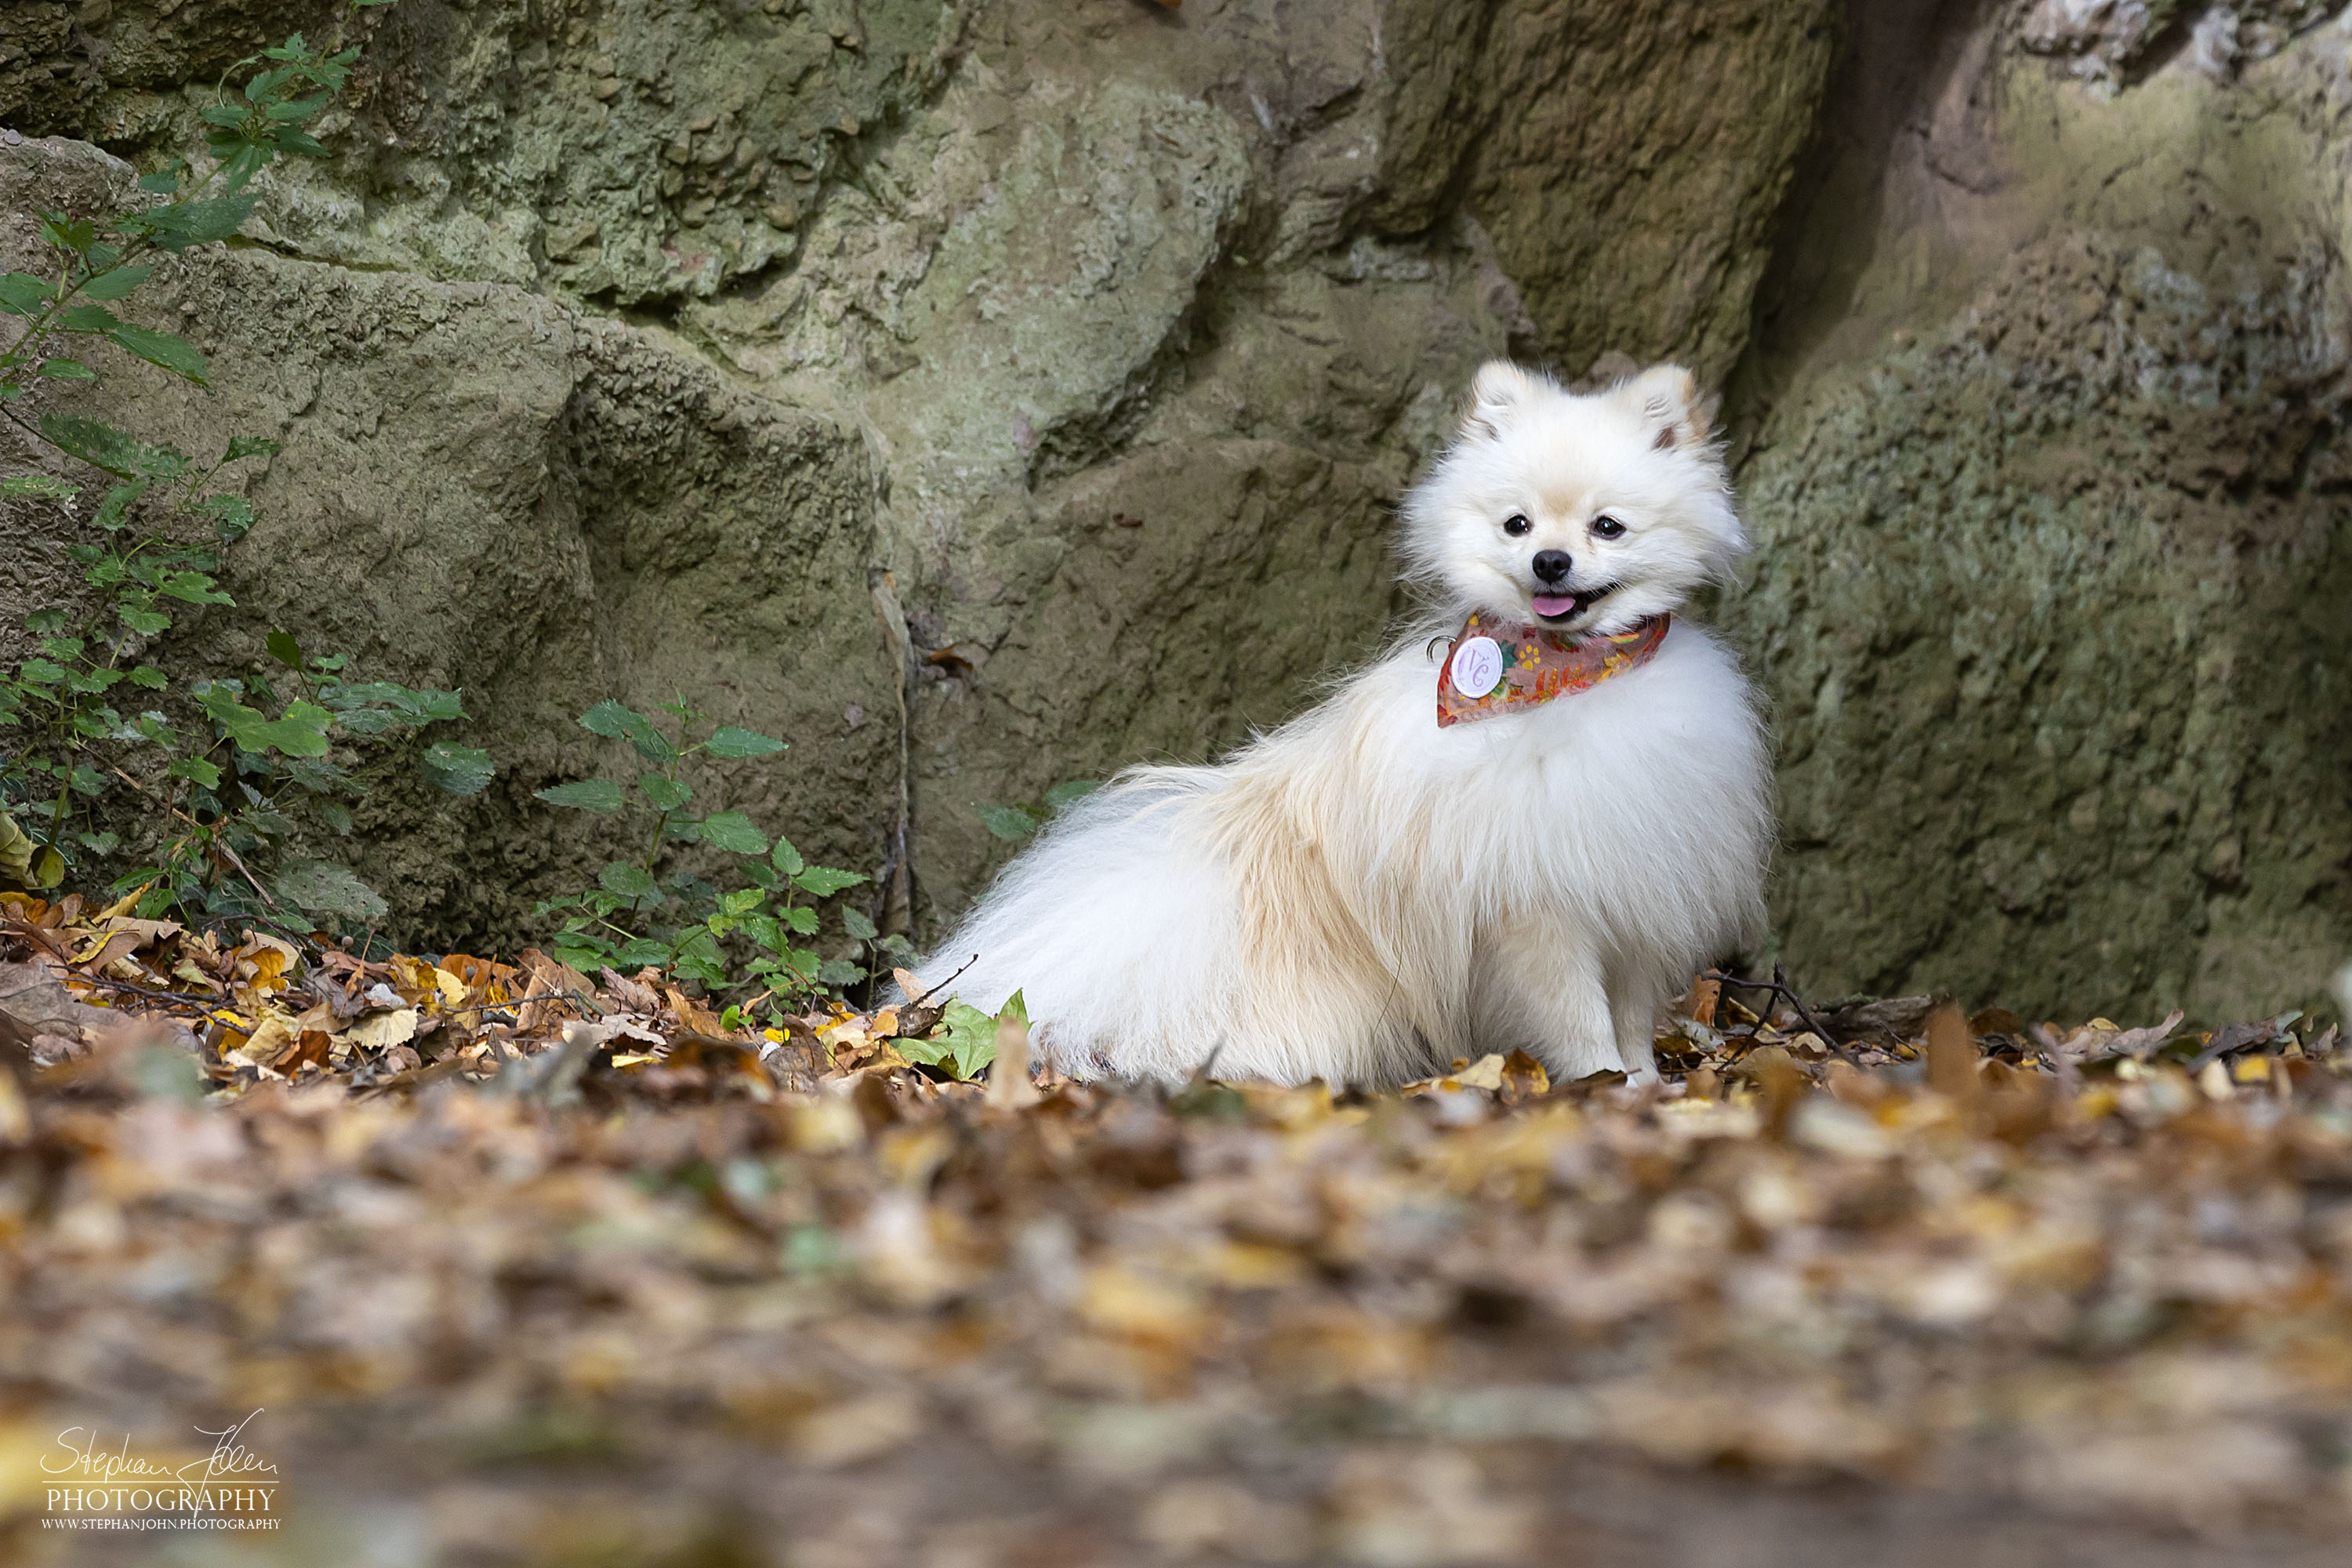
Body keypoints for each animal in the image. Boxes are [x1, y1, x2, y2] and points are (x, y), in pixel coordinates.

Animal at [908, 361, 1769, 1086]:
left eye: (1608, 527)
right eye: (1518, 525)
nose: (1551, 563)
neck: (1570, 677)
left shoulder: (1637, 893)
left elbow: (1630, 1014)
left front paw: (1647, 1087)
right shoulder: (1539, 912)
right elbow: (1581, 1018)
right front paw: (1604, 1086)